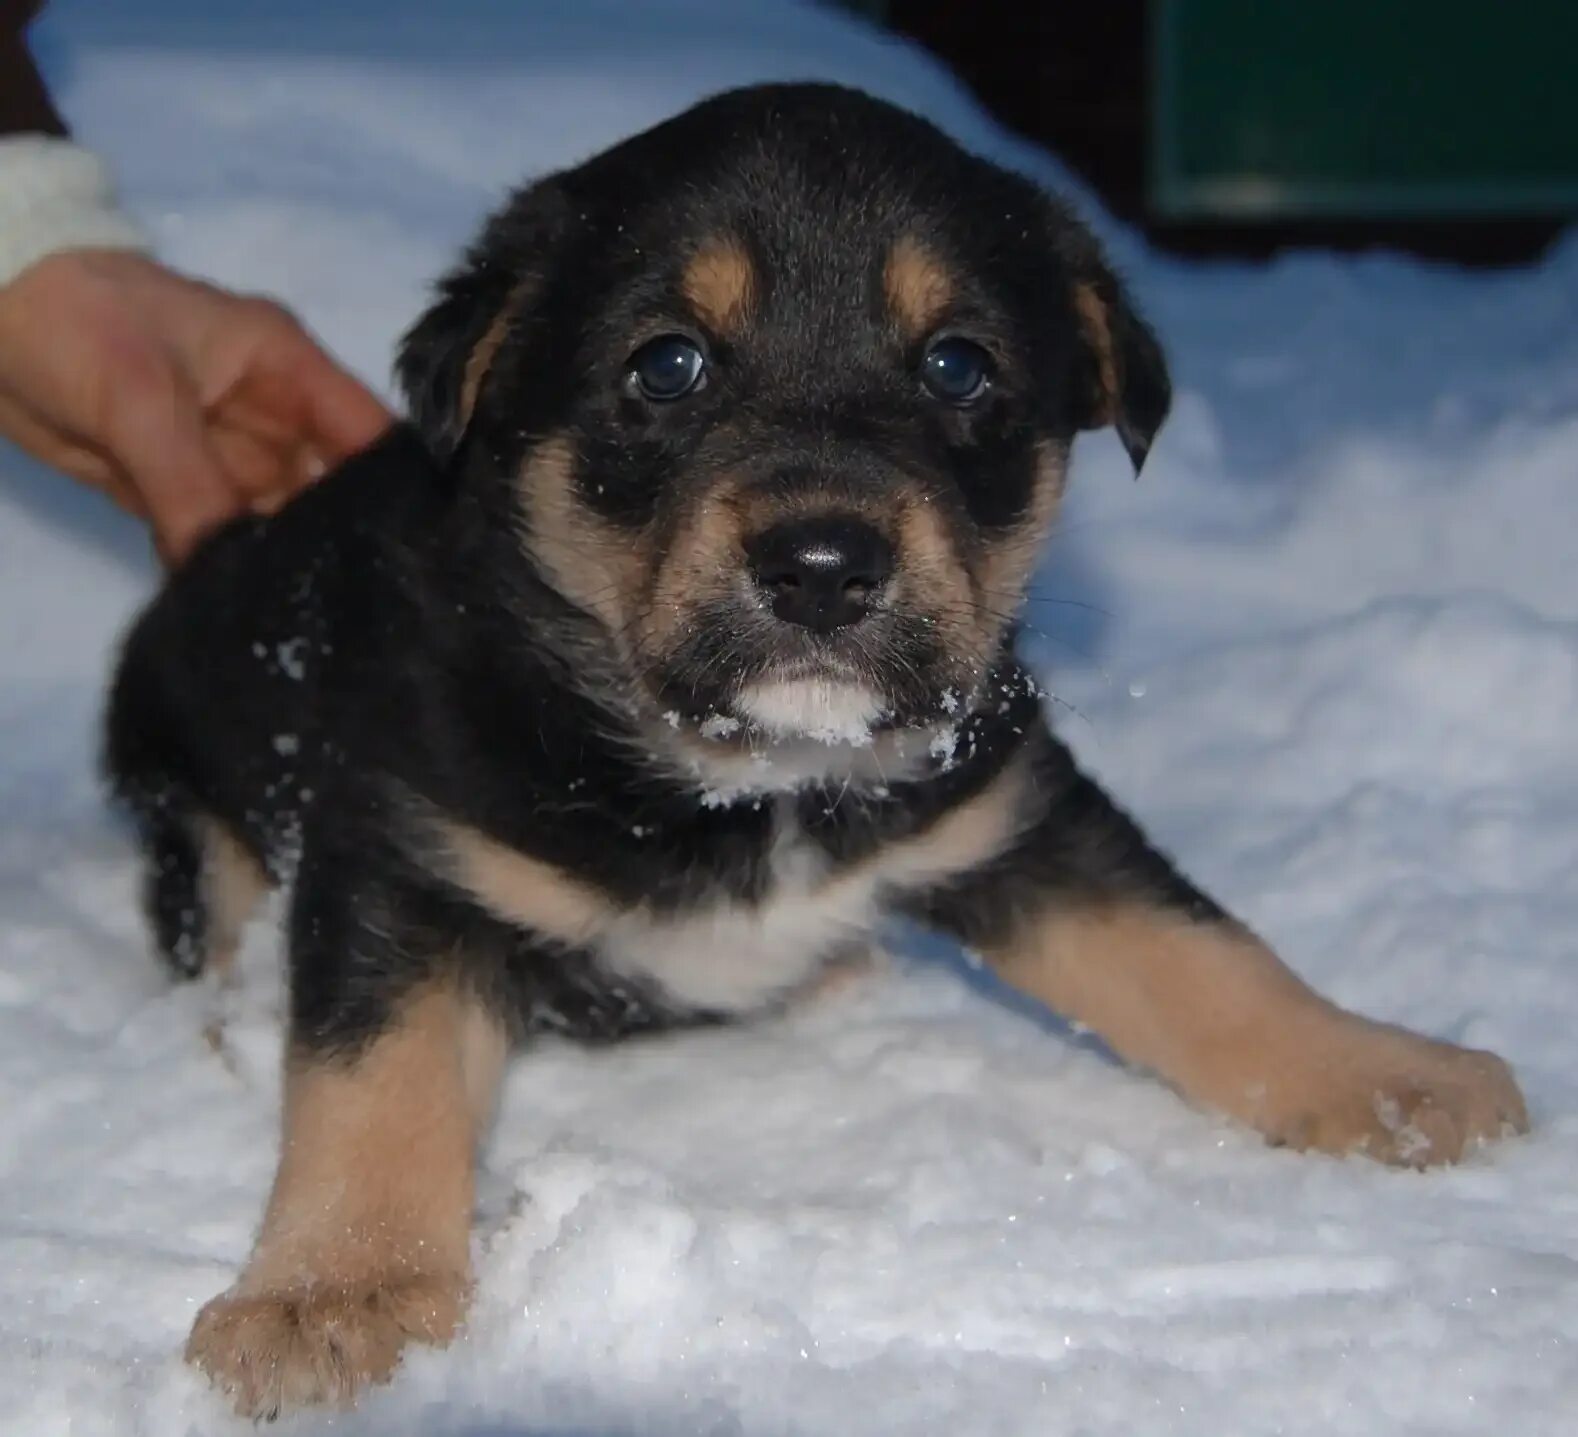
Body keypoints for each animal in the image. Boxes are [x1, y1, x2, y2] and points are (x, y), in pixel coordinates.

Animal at [101, 81, 1527, 1413]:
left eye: (957, 366)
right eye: (666, 364)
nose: (825, 565)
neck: (746, 775)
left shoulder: (1014, 807)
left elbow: (1198, 953)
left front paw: (1391, 1080)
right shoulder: (402, 852)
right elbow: (372, 1081)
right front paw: (331, 1300)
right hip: (187, 806)